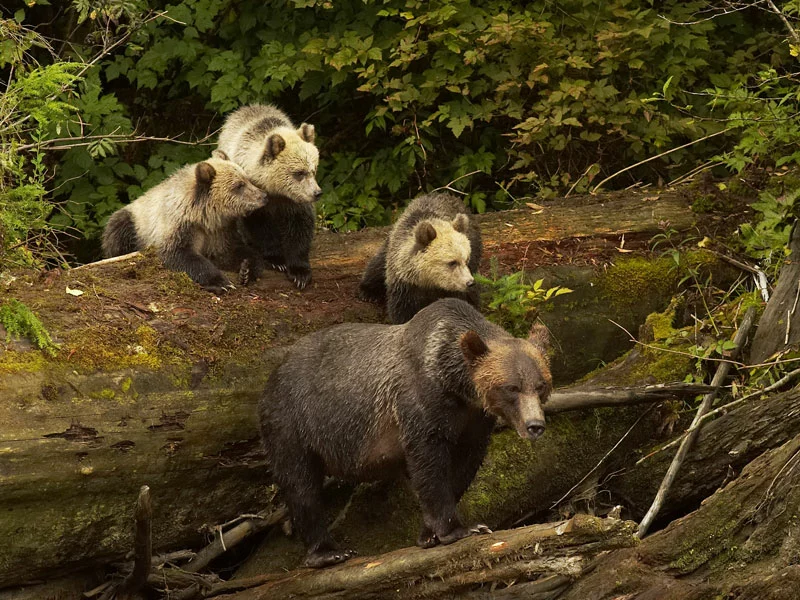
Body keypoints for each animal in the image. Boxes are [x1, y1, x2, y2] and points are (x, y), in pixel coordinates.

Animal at [256, 298, 552, 568]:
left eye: (541, 385)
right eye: (512, 387)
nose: (535, 425)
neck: (456, 386)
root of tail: (275, 370)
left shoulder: (474, 420)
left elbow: (464, 465)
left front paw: (429, 534)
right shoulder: (420, 404)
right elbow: (429, 463)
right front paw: (459, 529)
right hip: (293, 421)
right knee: (301, 483)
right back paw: (328, 552)